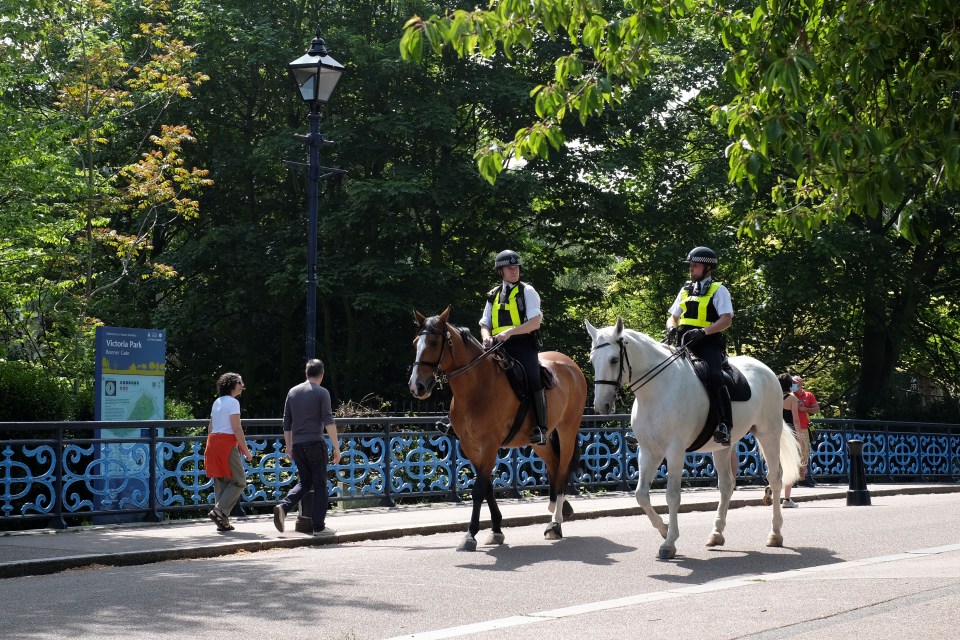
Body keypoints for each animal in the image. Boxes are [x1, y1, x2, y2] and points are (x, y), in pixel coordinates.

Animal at [408, 308, 588, 552]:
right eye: (415, 342)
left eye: (434, 342)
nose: (416, 386)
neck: (477, 388)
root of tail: (571, 364)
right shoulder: (470, 447)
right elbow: (487, 488)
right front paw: (496, 530)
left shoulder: (489, 445)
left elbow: (478, 490)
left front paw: (470, 535)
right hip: (537, 440)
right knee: (552, 463)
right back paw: (558, 509)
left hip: (567, 430)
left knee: (561, 470)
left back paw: (555, 523)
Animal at [584, 318, 804, 556]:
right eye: (592, 360)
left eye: (614, 360)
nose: (601, 406)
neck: (657, 388)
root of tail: (768, 372)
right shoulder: (649, 451)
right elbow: (641, 494)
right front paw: (664, 529)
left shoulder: (675, 450)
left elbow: (672, 495)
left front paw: (669, 542)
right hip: (722, 446)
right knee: (726, 484)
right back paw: (716, 533)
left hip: (768, 434)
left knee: (775, 479)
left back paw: (775, 533)